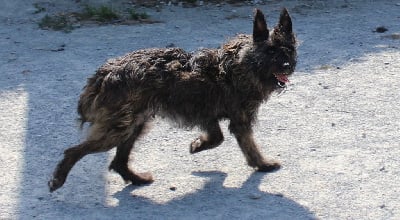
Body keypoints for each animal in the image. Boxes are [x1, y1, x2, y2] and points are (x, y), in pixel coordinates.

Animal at [47, 7, 296, 192]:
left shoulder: (208, 115)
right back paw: (58, 180)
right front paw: (262, 164)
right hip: (117, 129)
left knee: (118, 161)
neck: (244, 64)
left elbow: (217, 137)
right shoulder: (239, 121)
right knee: (74, 151)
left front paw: (198, 145)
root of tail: (103, 75)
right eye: (271, 52)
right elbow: (247, 146)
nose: (287, 66)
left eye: (288, 50)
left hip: (133, 125)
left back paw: (137, 179)